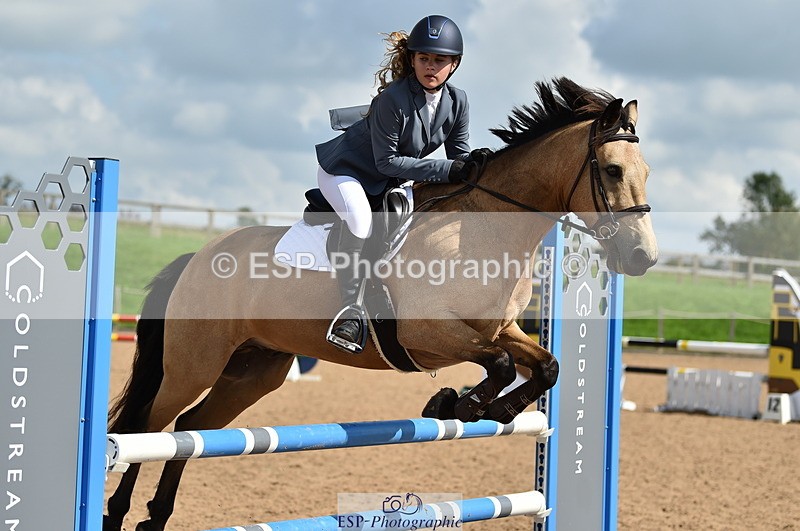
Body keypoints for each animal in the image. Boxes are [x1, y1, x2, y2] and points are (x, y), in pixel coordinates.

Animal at [104, 77, 658, 530]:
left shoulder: (500, 329)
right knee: (150, 426)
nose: (643, 257)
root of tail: (198, 257)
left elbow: (547, 366)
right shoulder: (427, 331)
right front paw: (457, 404)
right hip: (194, 363)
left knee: (189, 429)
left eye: (646, 171)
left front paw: (482, 407)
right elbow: (499, 364)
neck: (482, 229)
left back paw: (156, 517)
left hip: (253, 371)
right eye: (612, 170)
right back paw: (117, 513)